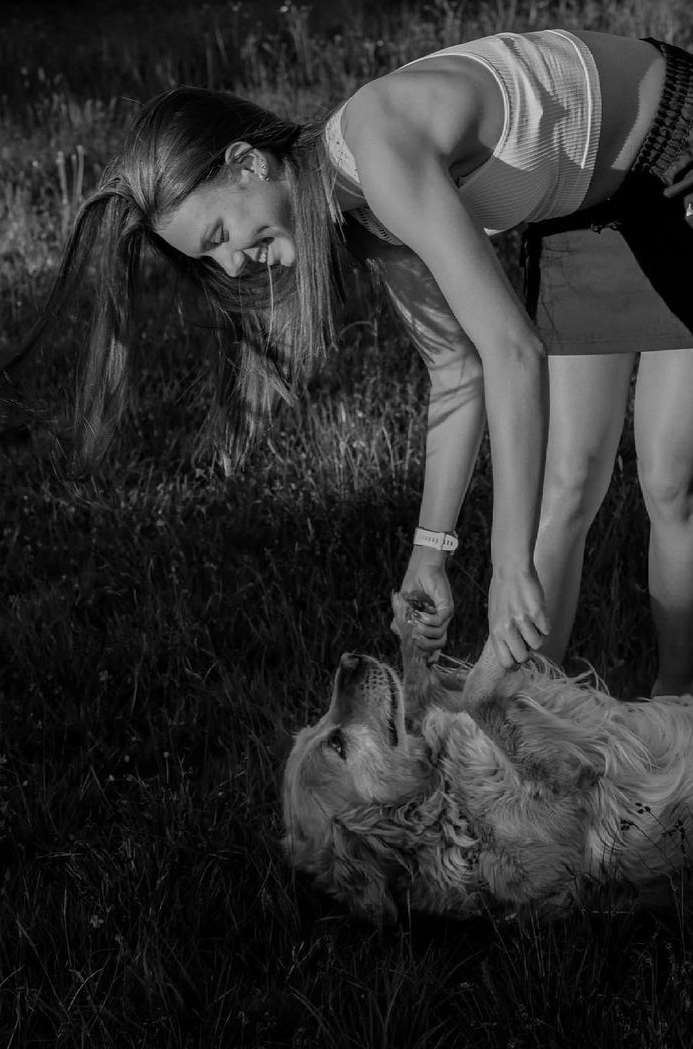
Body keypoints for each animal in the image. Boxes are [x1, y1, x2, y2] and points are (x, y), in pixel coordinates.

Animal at [282, 593, 693, 925]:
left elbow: (429, 690)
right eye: (337, 745)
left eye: (319, 725)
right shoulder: (572, 778)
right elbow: (476, 693)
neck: (450, 805)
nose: (348, 659)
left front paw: (411, 627)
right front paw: (510, 623)